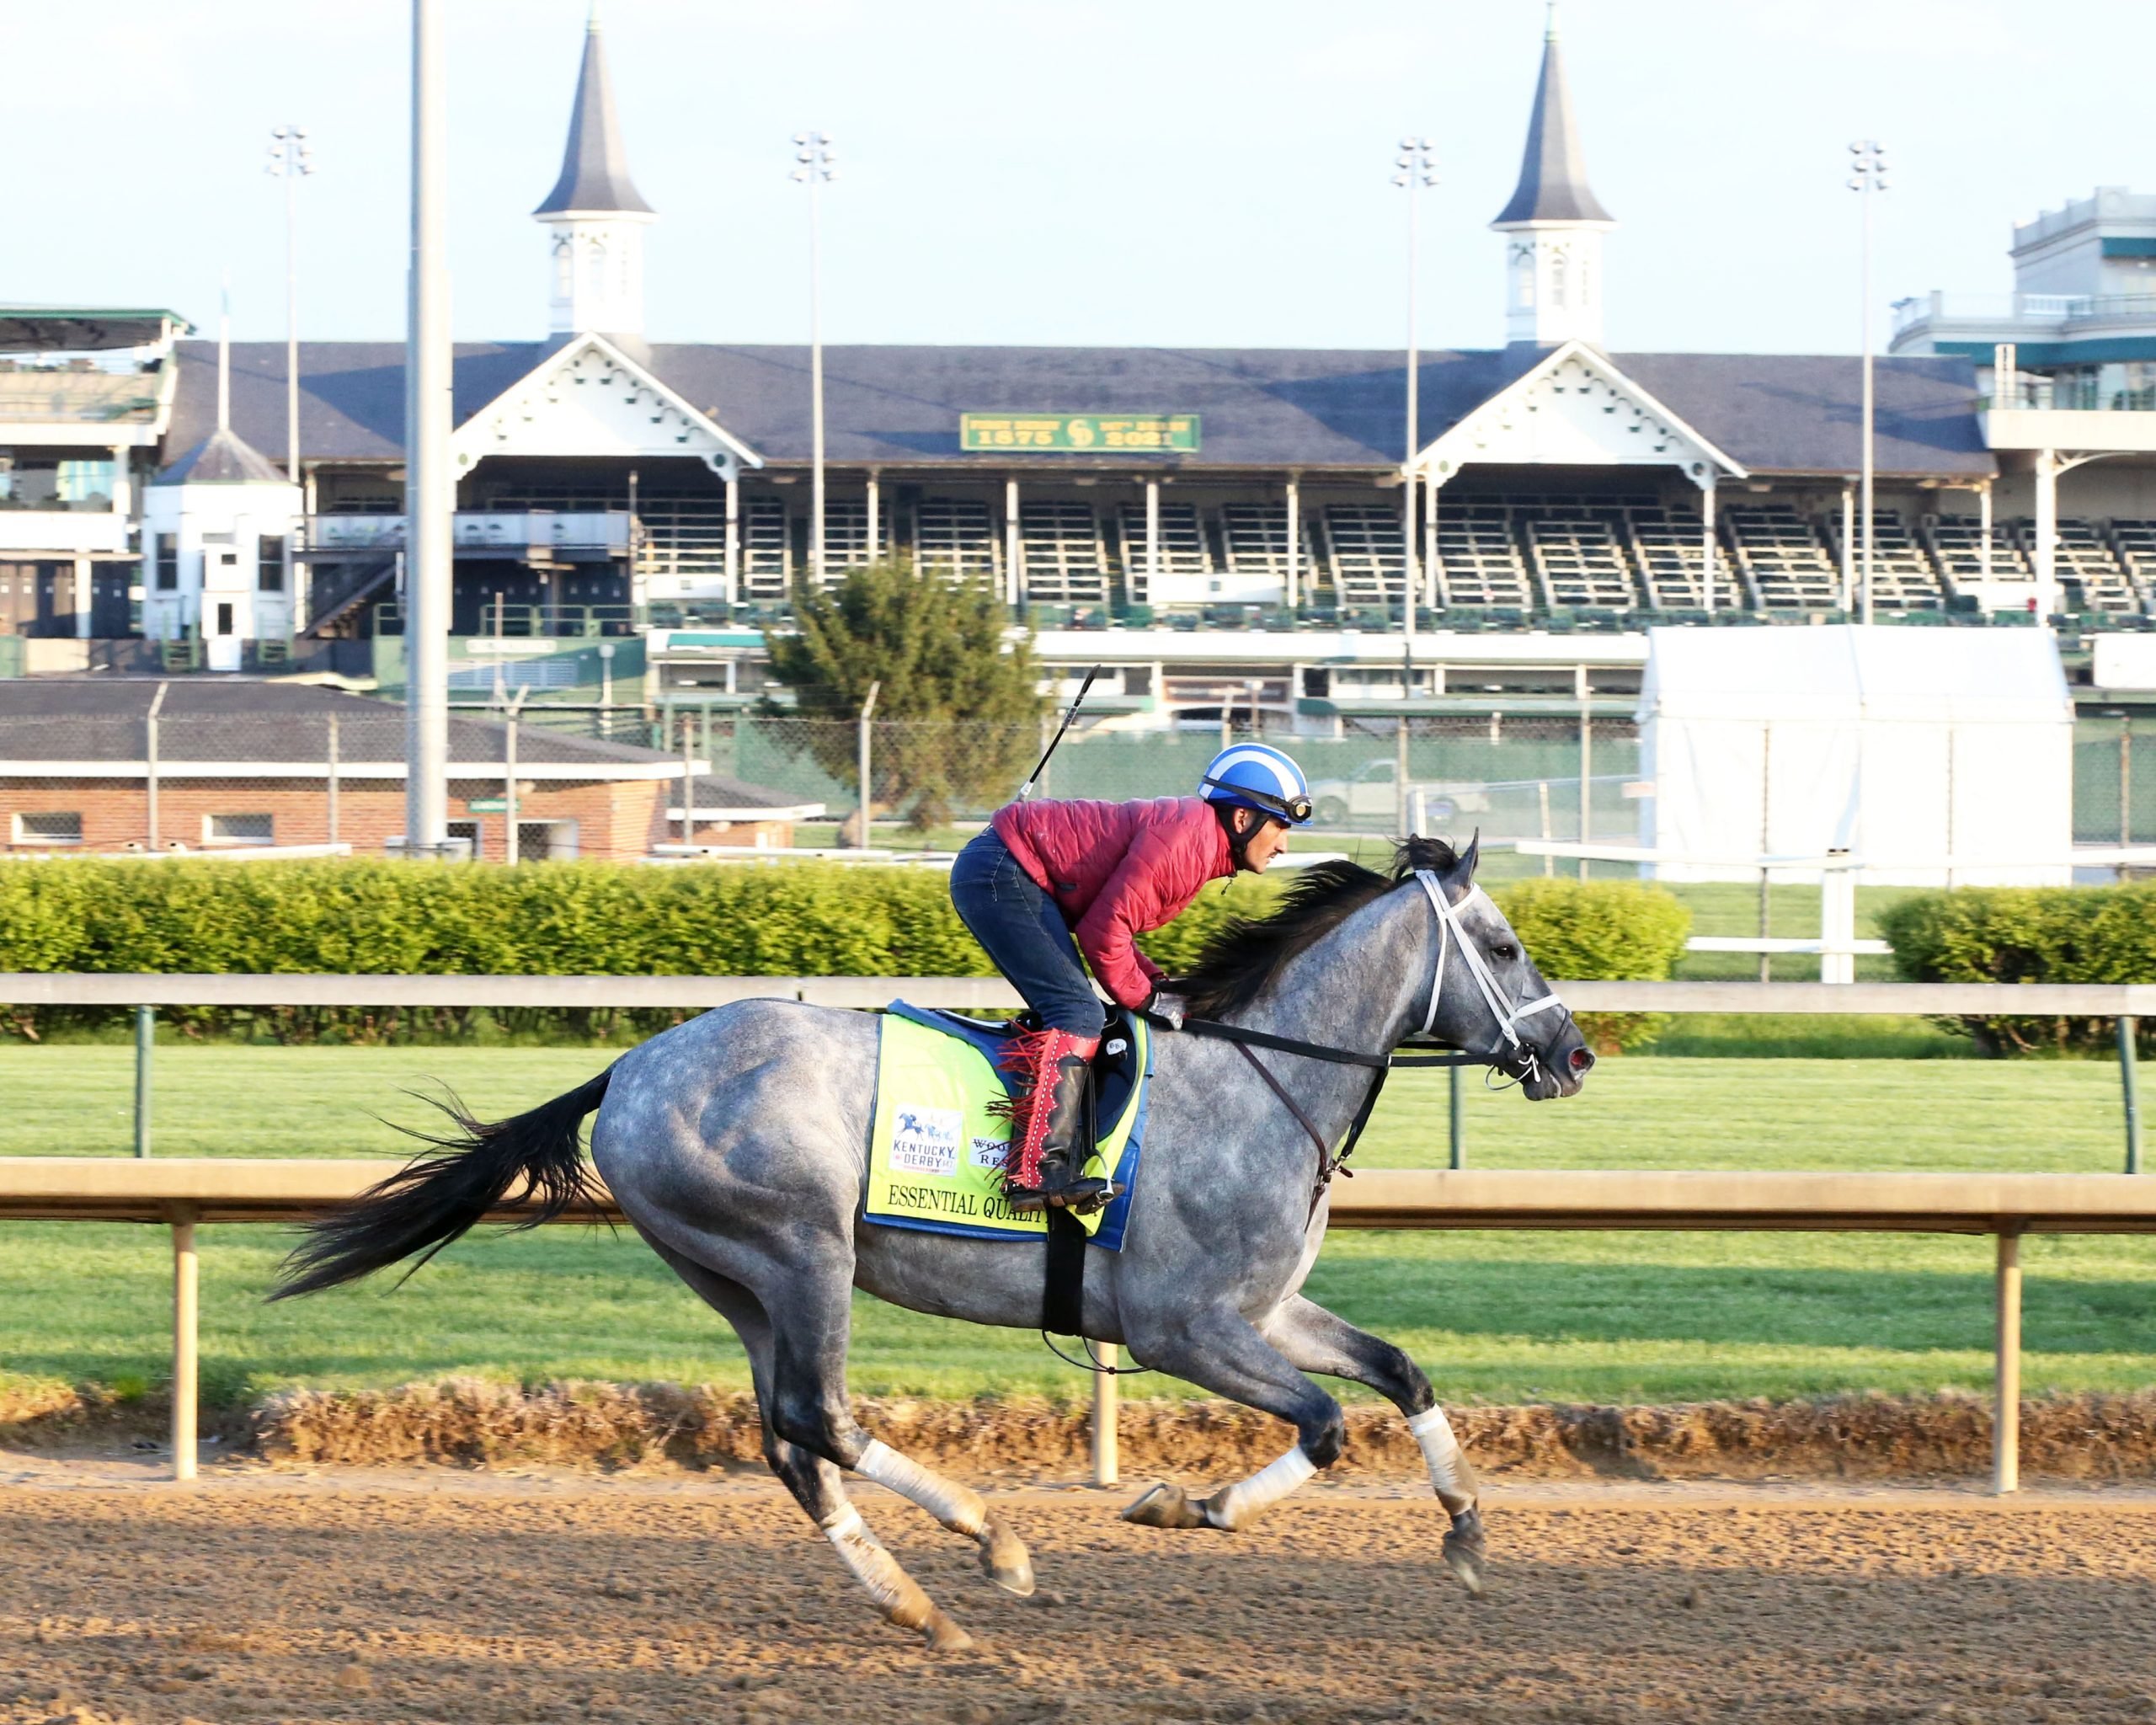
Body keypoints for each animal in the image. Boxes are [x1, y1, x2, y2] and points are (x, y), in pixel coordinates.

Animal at [278, 841, 1595, 1647]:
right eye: (1505, 944)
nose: (1574, 1052)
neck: (1263, 1082)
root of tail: (633, 1066)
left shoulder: (1264, 1312)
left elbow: (1402, 1372)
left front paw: (1468, 1534)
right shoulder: (1181, 1328)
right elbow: (1323, 1425)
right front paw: (1184, 1505)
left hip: (735, 1277)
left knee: (791, 1443)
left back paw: (918, 1604)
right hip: (804, 1250)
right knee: (823, 1418)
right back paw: (990, 1542)